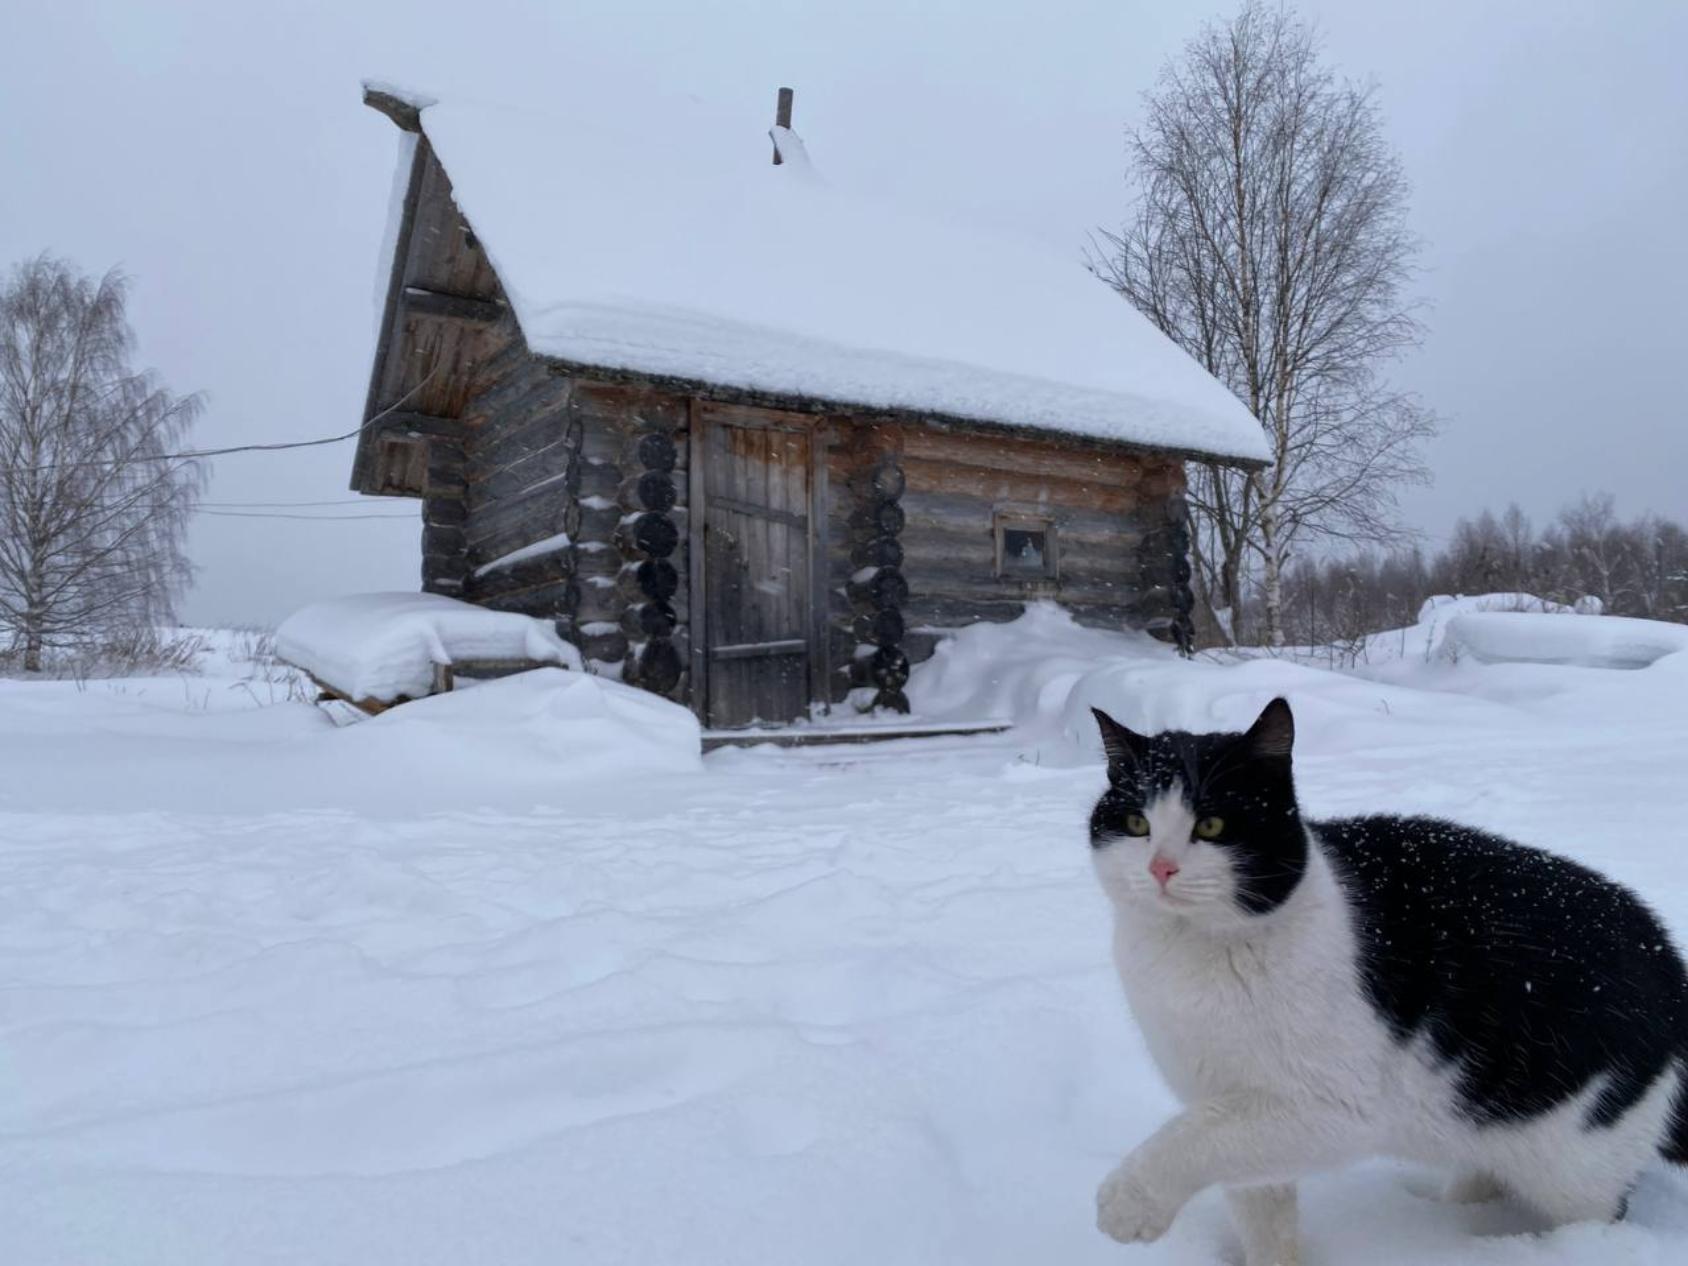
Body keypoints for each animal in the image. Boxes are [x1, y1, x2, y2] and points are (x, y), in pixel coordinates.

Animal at [1087, 698, 1681, 1262]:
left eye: (1210, 826)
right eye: (1137, 824)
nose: (1160, 867)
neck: (1193, 956)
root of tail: (1667, 952)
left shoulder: (1332, 1107)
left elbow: (1196, 1135)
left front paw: (1130, 1202)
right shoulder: (1219, 1090)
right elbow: (1258, 1206)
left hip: (1577, 1162)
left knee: (1597, 1213)